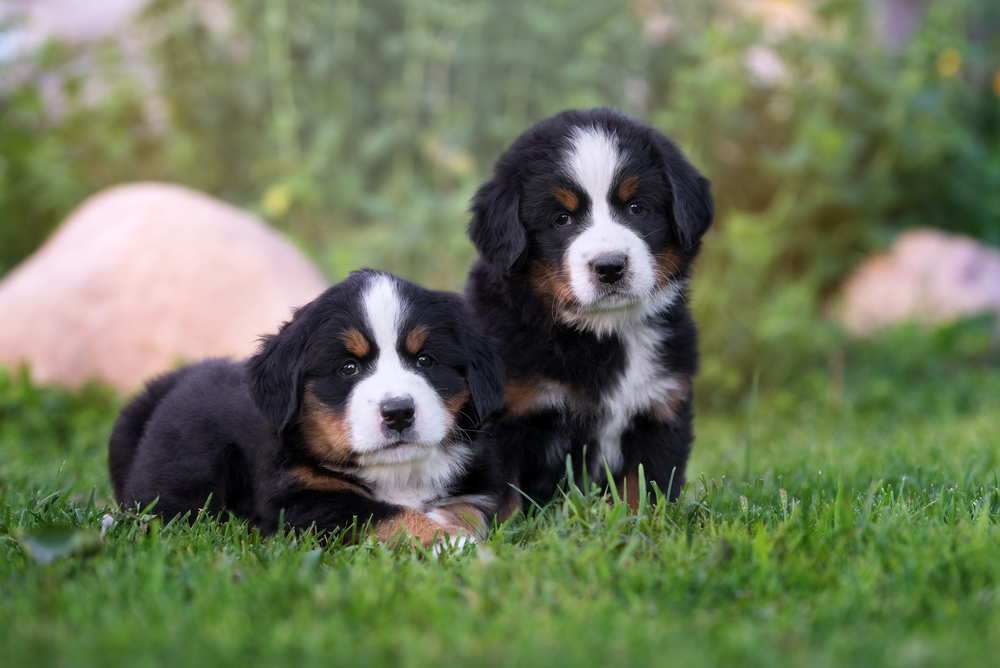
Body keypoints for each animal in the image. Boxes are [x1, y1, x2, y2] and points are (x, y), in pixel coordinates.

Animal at [107, 268, 508, 544]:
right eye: (348, 368)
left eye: (425, 360)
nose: (398, 413)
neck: (398, 474)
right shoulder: (301, 501)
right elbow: (388, 514)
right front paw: (449, 542)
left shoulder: (475, 487)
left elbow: (469, 511)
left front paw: (457, 532)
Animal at [466, 107, 712, 516]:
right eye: (561, 219)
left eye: (636, 208)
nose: (610, 266)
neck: (603, 334)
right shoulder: (504, 418)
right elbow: (503, 500)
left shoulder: (660, 410)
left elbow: (644, 492)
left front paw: (643, 526)